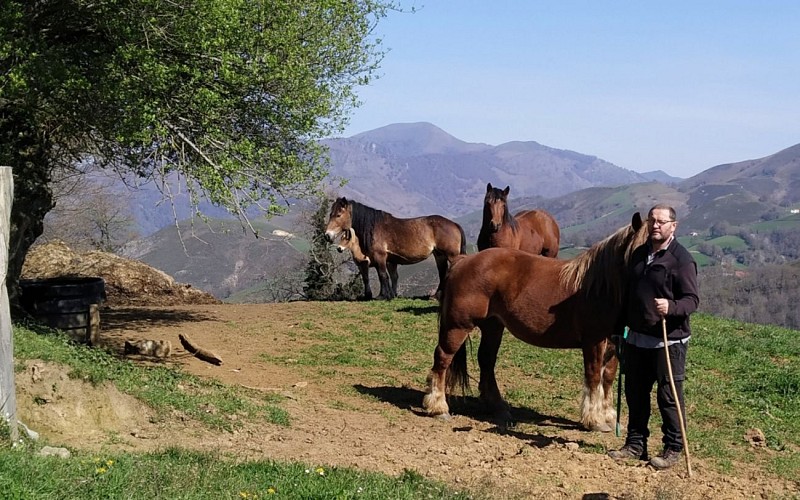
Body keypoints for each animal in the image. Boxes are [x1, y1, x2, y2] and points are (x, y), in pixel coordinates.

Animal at [325, 197, 467, 300]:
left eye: (338, 215)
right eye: (330, 214)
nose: (327, 235)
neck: (374, 227)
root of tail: (454, 224)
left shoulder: (380, 256)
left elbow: (383, 275)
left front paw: (383, 296)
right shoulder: (384, 260)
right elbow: (386, 275)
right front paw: (387, 295)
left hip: (451, 255)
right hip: (439, 255)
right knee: (442, 273)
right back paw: (436, 296)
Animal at [422, 212, 648, 432]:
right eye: (637, 252)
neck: (600, 286)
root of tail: (463, 261)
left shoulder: (614, 344)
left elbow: (608, 377)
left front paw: (609, 416)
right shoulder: (593, 341)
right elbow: (593, 376)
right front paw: (594, 420)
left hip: (493, 326)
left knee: (486, 360)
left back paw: (498, 407)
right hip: (458, 326)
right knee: (443, 358)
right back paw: (439, 407)